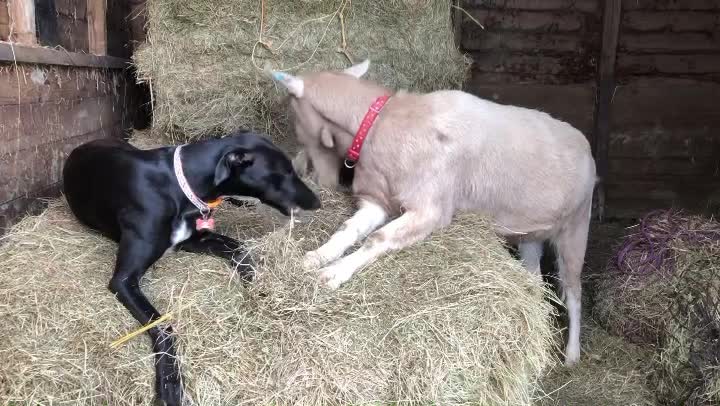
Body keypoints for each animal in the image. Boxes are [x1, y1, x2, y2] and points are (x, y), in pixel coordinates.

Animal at [62, 131, 320, 406]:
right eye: (284, 172)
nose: (318, 202)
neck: (178, 186)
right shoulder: (124, 280)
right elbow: (164, 327)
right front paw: (170, 384)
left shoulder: (194, 239)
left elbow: (241, 250)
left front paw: (260, 290)